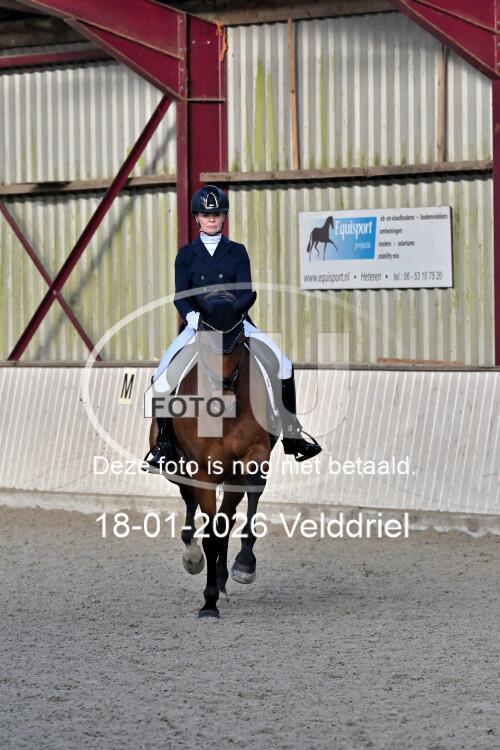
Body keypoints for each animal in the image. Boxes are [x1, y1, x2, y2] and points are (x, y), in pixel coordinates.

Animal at [149, 291, 281, 618]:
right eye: (206, 343)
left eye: (239, 340)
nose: (224, 396)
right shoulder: (202, 471)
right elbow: (209, 534)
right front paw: (208, 603)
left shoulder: (254, 456)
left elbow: (237, 517)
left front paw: (244, 564)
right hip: (177, 468)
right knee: (190, 503)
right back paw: (193, 556)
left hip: (231, 475)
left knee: (227, 519)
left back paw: (221, 579)